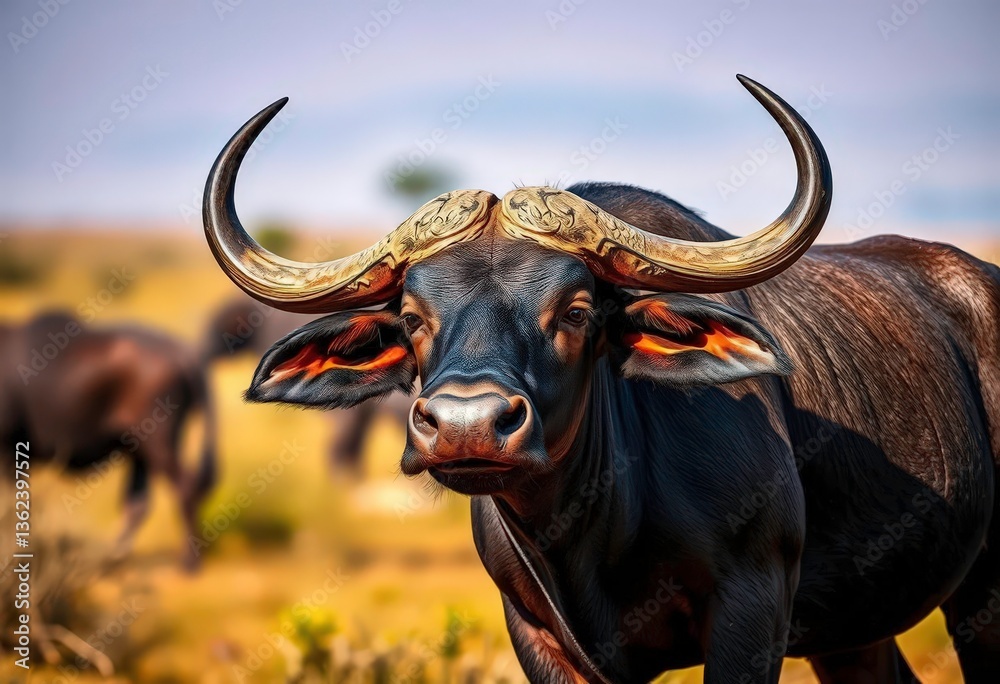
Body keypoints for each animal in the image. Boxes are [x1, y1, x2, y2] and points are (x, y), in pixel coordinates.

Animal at [202, 76, 1000, 682]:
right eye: (411, 315)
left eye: (577, 310)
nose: (465, 426)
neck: (595, 528)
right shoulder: (539, 635)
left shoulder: (753, 612)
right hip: (856, 630)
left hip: (980, 597)